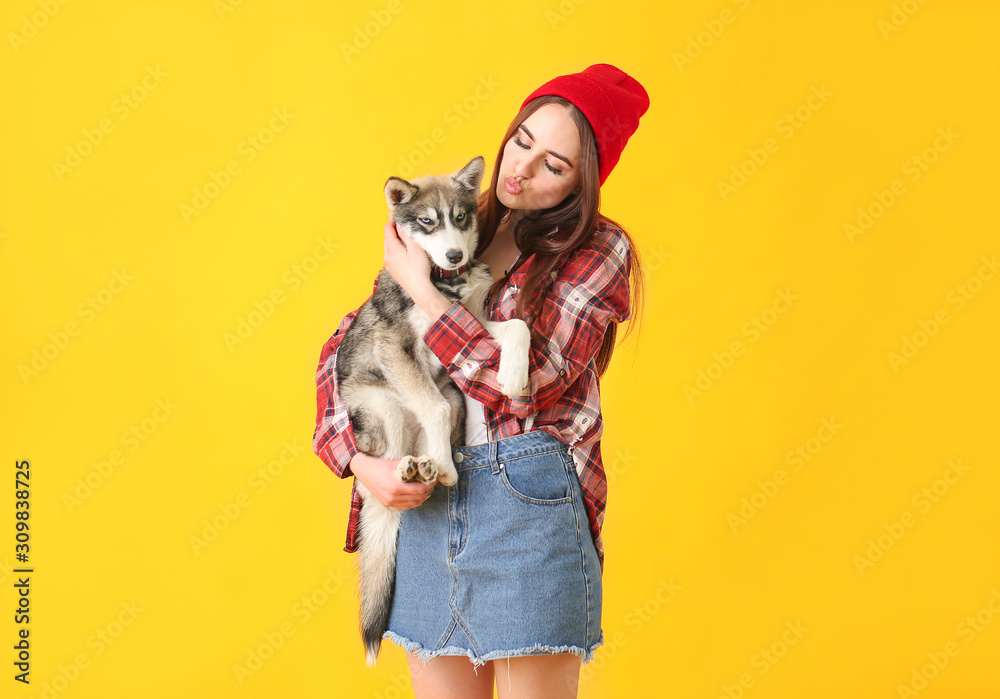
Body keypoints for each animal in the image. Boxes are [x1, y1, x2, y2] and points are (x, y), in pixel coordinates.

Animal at [336, 156, 532, 664]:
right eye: (427, 223)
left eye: (459, 218)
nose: (454, 257)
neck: (446, 286)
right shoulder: (396, 348)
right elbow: (433, 411)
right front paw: (445, 466)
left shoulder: (469, 323)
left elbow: (517, 325)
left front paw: (513, 375)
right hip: (383, 407)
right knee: (390, 468)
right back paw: (416, 468)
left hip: (455, 394)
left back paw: (428, 466)